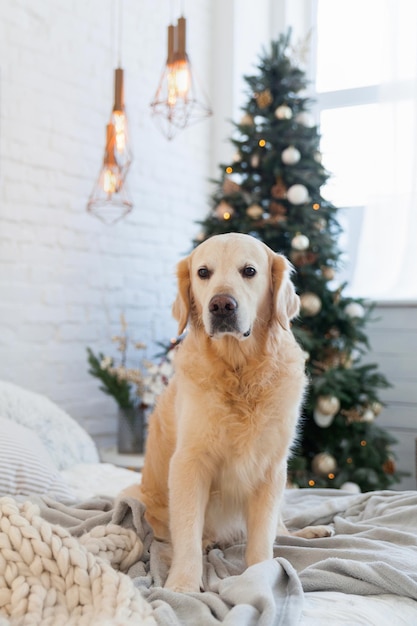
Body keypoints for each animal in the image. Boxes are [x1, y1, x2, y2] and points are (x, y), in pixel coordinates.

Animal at [123, 233, 332, 588]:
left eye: (249, 271)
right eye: (203, 272)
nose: (221, 305)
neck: (240, 372)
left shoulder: (271, 467)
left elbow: (263, 538)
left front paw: (262, 575)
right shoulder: (189, 462)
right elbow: (188, 533)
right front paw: (183, 584)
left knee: (281, 529)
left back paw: (309, 532)